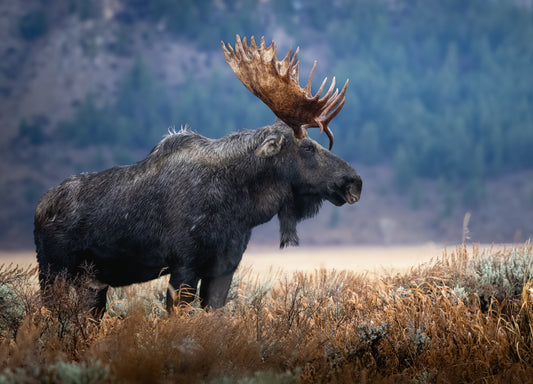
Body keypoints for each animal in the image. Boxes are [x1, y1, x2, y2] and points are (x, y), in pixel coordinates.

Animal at [34, 36, 362, 316]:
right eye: (307, 147)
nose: (354, 182)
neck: (240, 207)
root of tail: (39, 209)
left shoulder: (224, 266)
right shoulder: (184, 263)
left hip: (92, 284)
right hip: (53, 272)